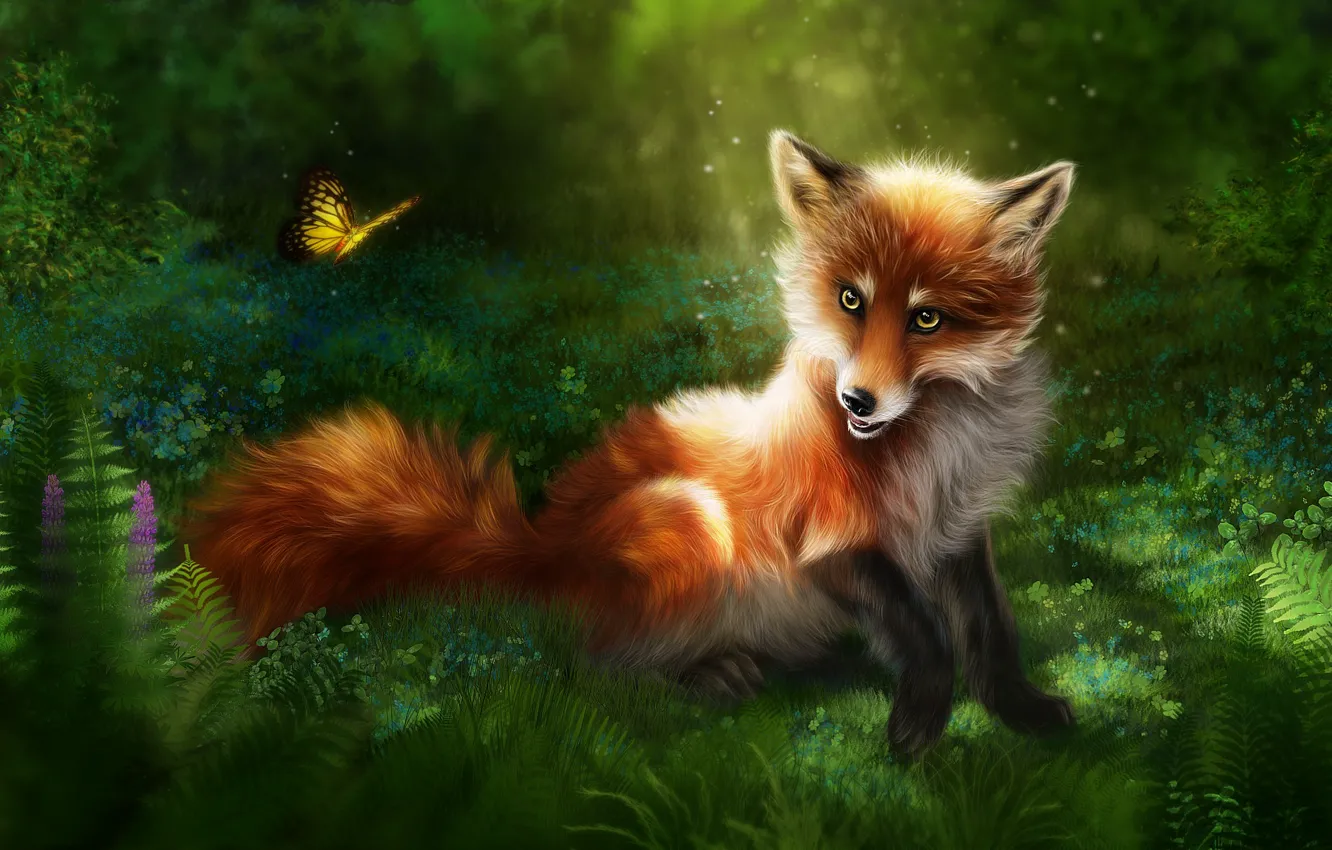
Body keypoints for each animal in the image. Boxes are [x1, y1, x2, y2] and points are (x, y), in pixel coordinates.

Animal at [183, 130, 1078, 759]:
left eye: (926, 318)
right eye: (851, 300)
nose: (856, 400)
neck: (930, 449)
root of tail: (544, 546)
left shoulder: (956, 533)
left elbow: (990, 634)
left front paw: (1024, 713)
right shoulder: (830, 540)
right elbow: (927, 635)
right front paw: (920, 722)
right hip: (691, 523)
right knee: (594, 674)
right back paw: (706, 677)